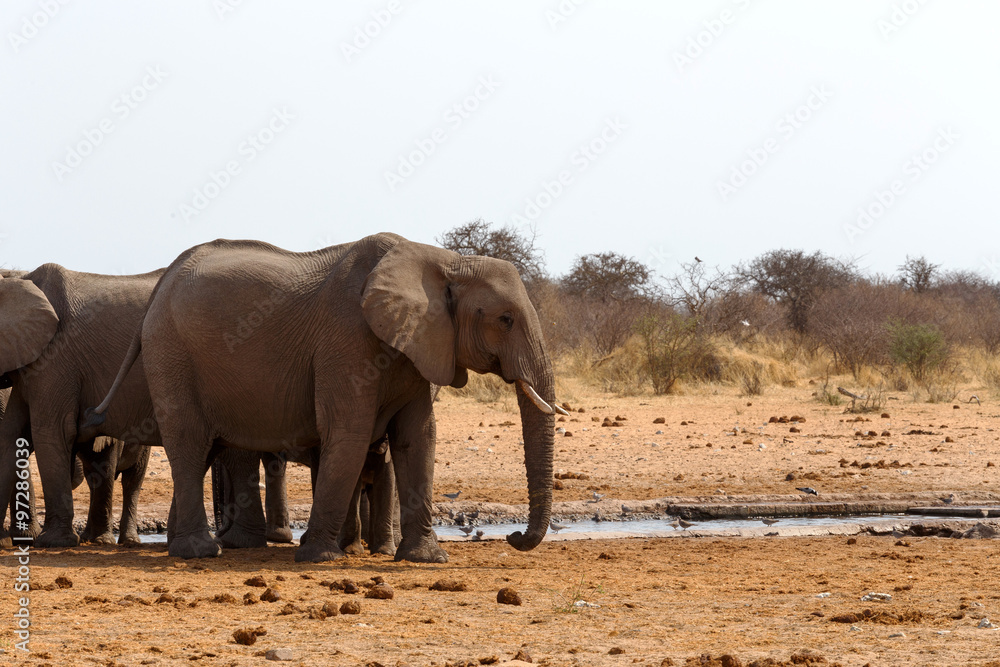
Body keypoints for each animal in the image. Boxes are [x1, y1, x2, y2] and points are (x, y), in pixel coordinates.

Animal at [84, 235, 572, 564]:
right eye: (505, 319)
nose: (514, 538)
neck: (445, 262)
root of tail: (161, 282)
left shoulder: (420, 346)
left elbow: (418, 439)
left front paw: (425, 559)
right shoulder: (346, 340)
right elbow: (350, 433)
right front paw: (320, 557)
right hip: (171, 351)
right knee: (189, 443)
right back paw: (200, 552)